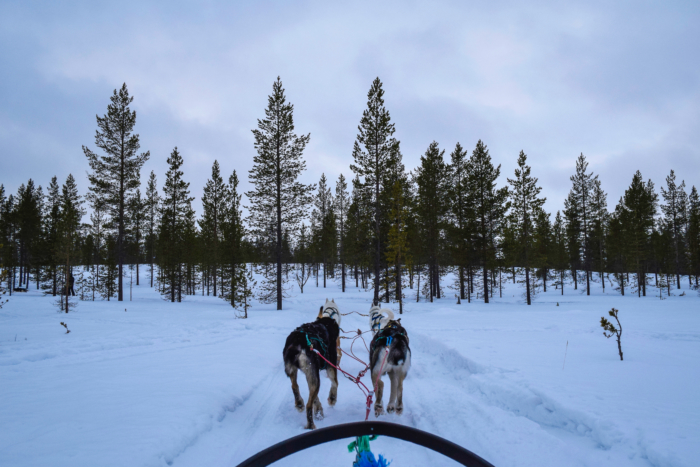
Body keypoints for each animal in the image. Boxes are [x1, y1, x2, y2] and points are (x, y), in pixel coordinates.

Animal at [284, 302, 340, 430]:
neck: (324, 326)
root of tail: (297, 343)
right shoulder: (331, 364)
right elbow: (335, 382)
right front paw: (332, 399)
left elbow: (315, 397)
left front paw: (319, 410)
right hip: (315, 374)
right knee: (309, 405)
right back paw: (310, 425)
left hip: (297, 371)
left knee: (295, 386)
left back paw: (300, 404)